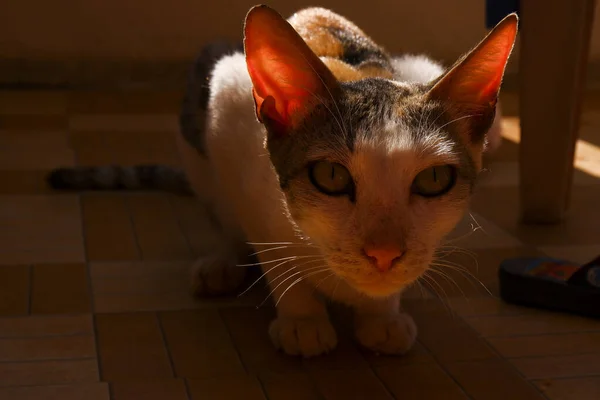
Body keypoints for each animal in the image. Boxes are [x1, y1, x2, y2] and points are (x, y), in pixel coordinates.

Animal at [48, 5, 516, 356]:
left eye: (434, 178)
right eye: (330, 176)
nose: (383, 254)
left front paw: (381, 316)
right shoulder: (230, 116)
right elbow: (269, 245)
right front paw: (302, 319)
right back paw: (222, 265)